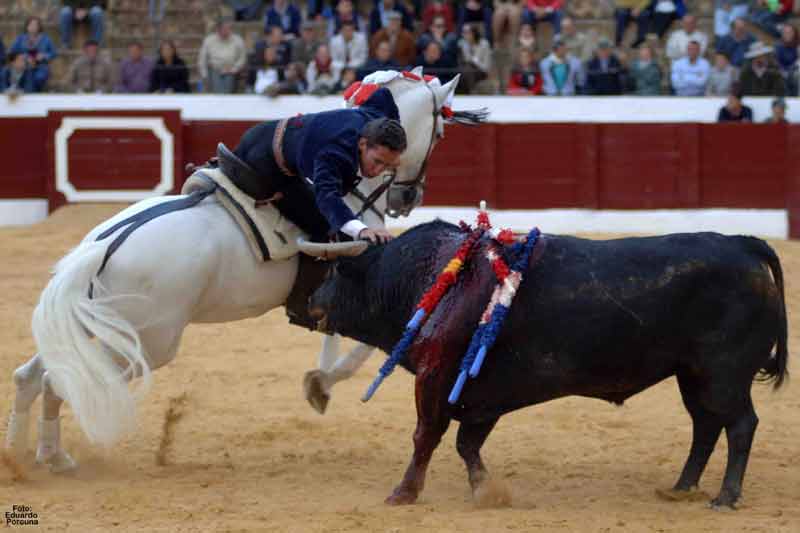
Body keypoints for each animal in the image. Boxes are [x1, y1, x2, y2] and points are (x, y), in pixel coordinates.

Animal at [4, 70, 462, 470]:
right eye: (439, 133)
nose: (407, 198)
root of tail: (104, 244)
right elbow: (363, 349)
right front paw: (321, 383)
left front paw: (319, 380)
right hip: (147, 345)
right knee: (59, 380)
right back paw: (50, 459)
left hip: (95, 324)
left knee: (33, 376)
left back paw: (23, 456)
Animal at [306, 220, 788, 508]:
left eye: (334, 275)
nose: (309, 304)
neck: (435, 277)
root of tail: (742, 245)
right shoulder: (482, 394)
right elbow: (467, 444)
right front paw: (485, 490)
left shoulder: (435, 378)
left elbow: (426, 436)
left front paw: (404, 493)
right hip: (693, 376)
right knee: (705, 426)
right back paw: (681, 487)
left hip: (724, 375)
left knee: (740, 424)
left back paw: (725, 497)